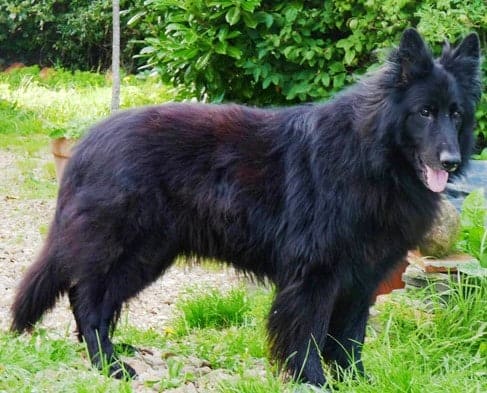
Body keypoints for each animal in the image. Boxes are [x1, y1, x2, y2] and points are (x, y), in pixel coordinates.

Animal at [10, 29, 480, 384]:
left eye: (456, 114)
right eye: (424, 112)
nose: (451, 162)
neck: (370, 155)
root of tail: (89, 140)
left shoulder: (363, 276)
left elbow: (349, 337)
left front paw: (356, 381)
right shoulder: (314, 275)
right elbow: (308, 335)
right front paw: (312, 381)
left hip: (148, 257)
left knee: (102, 302)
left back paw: (113, 350)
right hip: (119, 247)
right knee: (86, 299)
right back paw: (107, 364)